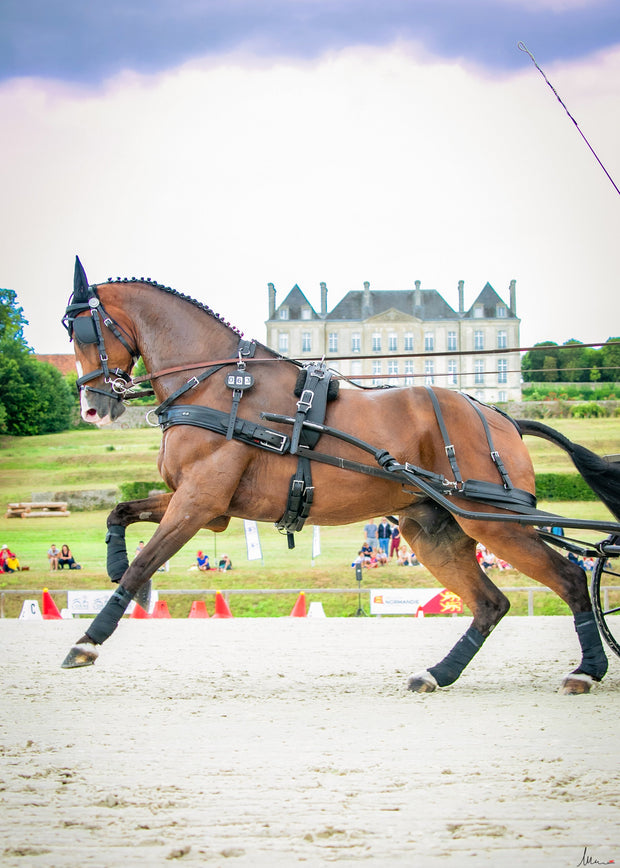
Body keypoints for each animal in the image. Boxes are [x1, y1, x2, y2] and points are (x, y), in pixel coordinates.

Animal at [60, 254, 616, 696]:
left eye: (81, 329)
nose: (92, 407)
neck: (222, 384)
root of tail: (502, 417)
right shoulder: (206, 507)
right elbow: (119, 515)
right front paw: (114, 567)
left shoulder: (199, 502)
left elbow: (143, 564)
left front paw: (89, 639)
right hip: (434, 531)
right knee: (490, 603)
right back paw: (438, 673)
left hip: (492, 521)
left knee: (570, 578)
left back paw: (587, 670)